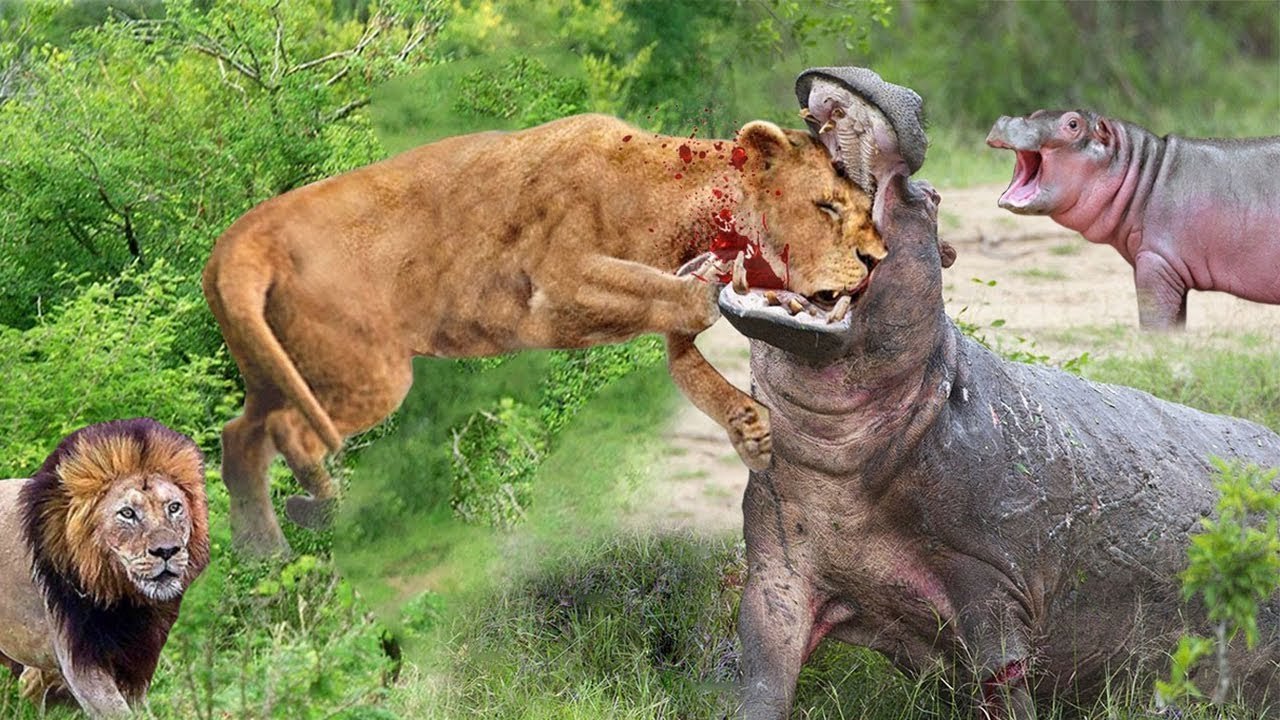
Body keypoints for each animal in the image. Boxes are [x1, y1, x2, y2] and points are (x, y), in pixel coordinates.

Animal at [0, 418, 209, 718]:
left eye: (174, 507)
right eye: (127, 513)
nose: (167, 551)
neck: (123, 597)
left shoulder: (138, 657)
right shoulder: (80, 660)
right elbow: (118, 712)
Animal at [203, 112, 883, 555]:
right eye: (826, 206)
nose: (877, 259)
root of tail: (240, 241)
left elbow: (693, 368)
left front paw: (753, 434)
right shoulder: (557, 283)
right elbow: (682, 302)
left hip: (276, 369)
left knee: (241, 436)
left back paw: (260, 549)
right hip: (370, 371)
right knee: (289, 431)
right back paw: (321, 510)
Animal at [986, 110, 1280, 330]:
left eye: (1073, 124)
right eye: (1035, 113)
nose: (1008, 119)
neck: (1144, 171)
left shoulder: (1156, 262)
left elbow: (1156, 321)